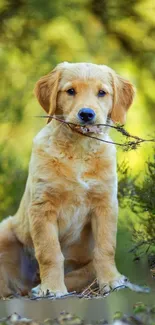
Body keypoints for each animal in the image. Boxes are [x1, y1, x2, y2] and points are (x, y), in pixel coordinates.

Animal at [0, 61, 134, 296]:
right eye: (70, 91)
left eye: (102, 93)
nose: (87, 114)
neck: (79, 149)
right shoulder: (42, 207)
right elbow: (49, 252)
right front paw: (53, 289)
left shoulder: (105, 204)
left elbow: (106, 247)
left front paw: (111, 280)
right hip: (5, 231)